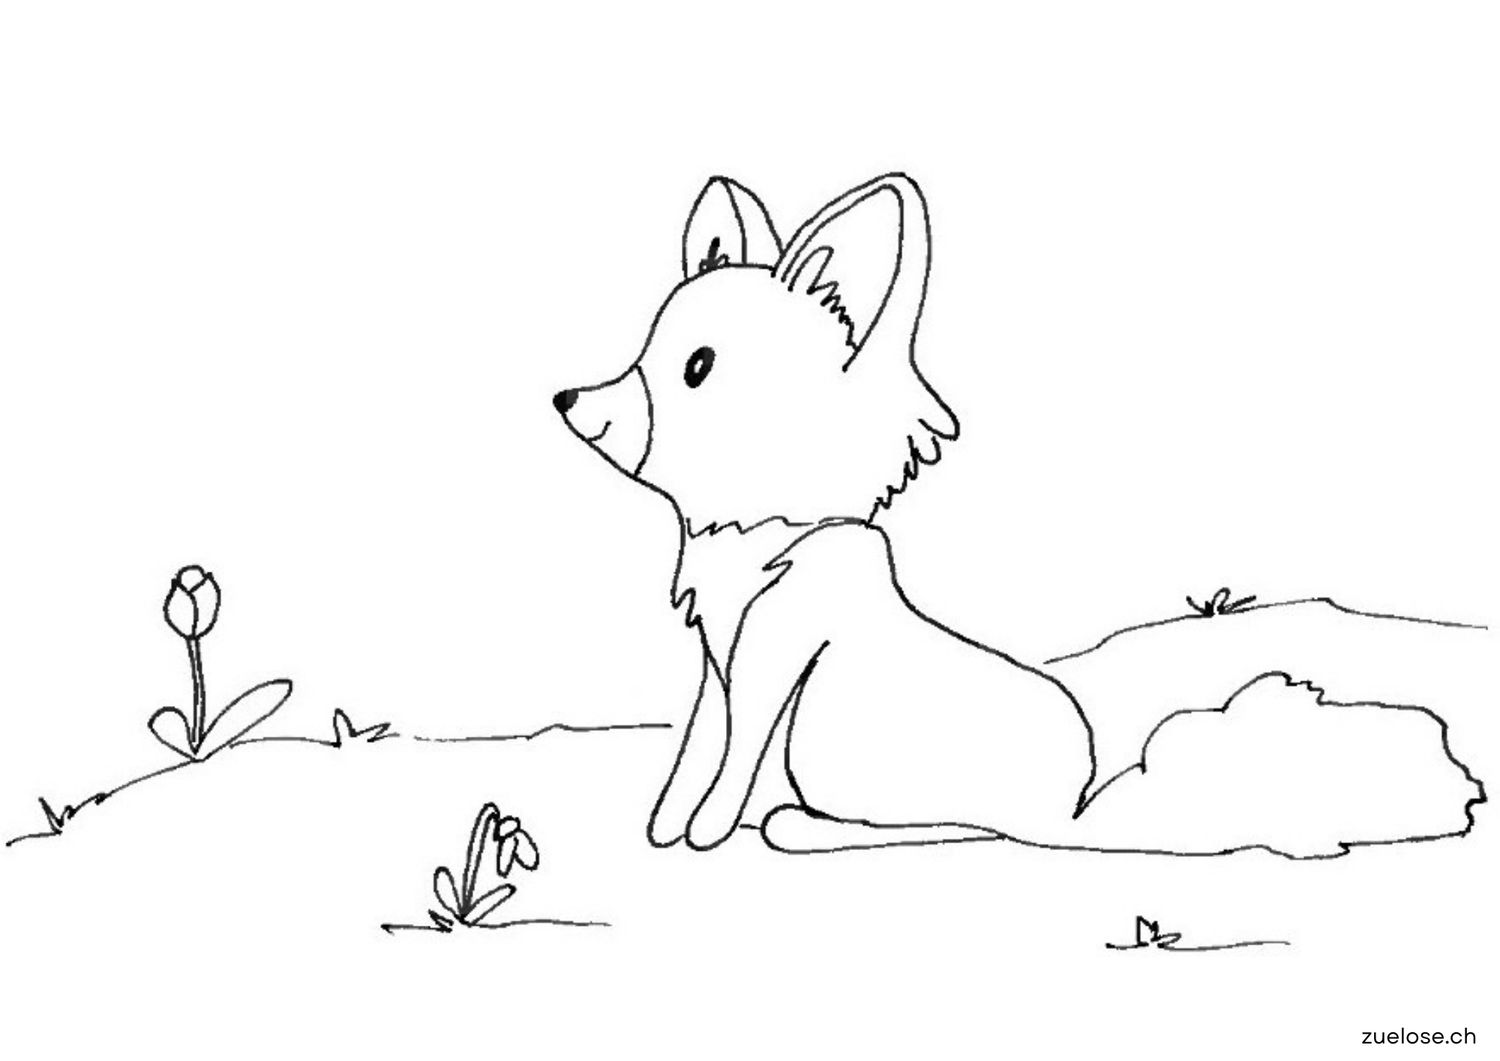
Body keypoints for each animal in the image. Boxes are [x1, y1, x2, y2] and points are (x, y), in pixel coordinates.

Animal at [554, 173, 1483, 856]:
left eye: (699, 367)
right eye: (648, 350)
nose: (571, 403)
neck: (762, 536)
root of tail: (1067, 806)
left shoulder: (775, 651)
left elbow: (736, 746)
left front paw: (706, 830)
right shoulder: (716, 660)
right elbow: (698, 744)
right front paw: (666, 825)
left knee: (933, 828)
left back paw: (796, 826)